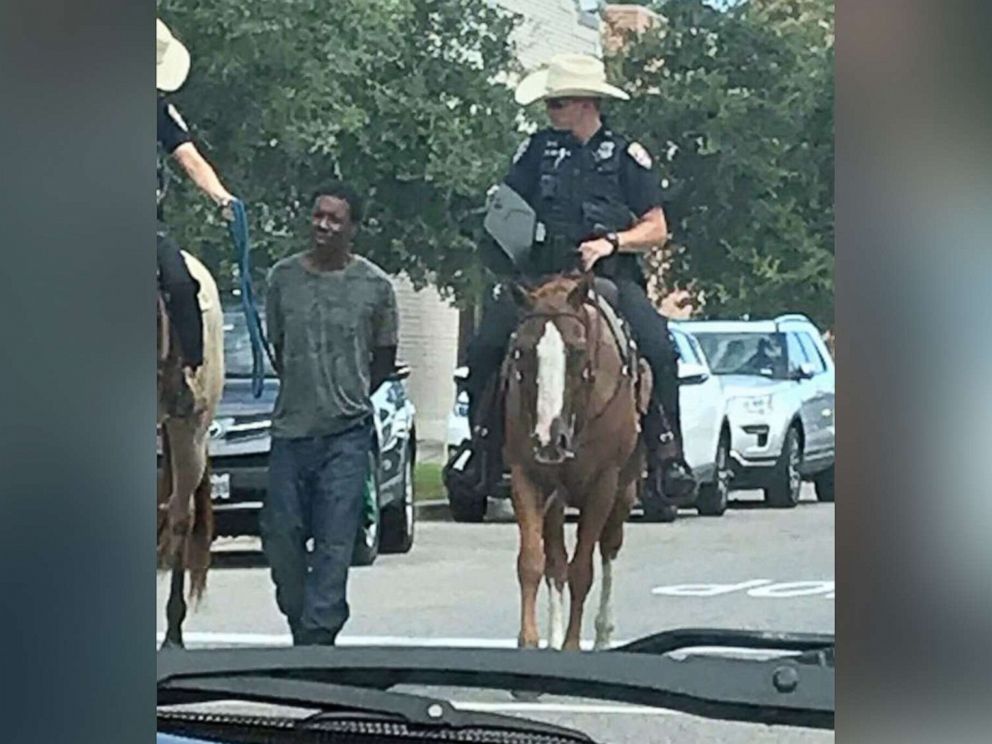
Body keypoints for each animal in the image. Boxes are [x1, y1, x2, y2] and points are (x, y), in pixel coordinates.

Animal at [504, 274, 652, 652]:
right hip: (557, 498)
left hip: (624, 491)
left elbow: (582, 570)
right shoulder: (526, 477)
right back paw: (554, 636)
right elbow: (532, 562)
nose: (548, 438)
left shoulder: (603, 483)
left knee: (608, 548)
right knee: (555, 561)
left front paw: (572, 645)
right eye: (521, 351)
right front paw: (530, 641)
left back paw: (601, 634)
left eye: (577, 350)